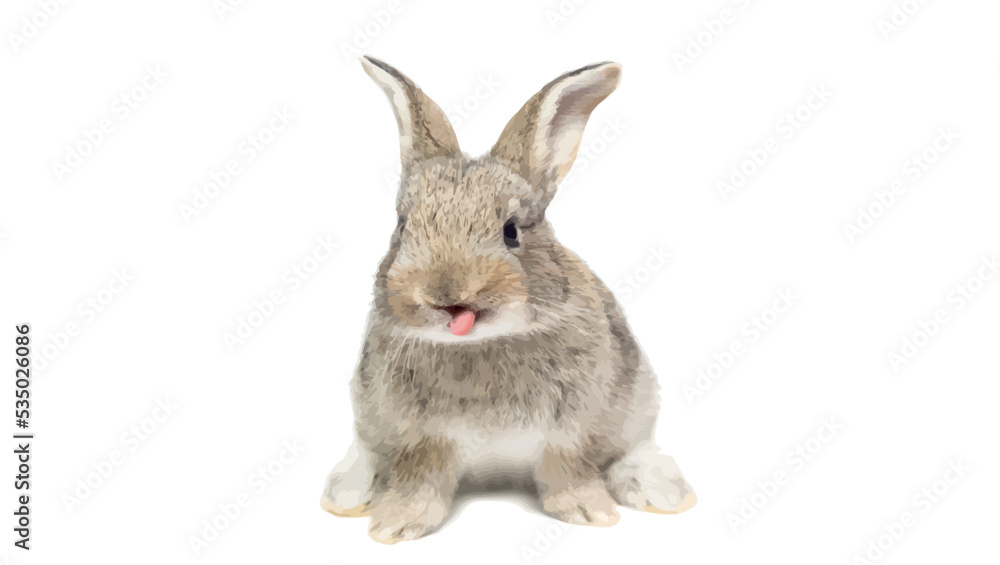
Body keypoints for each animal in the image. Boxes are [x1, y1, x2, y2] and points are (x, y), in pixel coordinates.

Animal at [320, 56, 696, 544]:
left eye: (511, 231)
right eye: (402, 227)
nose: (446, 294)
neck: (480, 342)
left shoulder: (568, 432)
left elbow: (566, 469)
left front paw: (588, 511)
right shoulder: (421, 440)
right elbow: (420, 477)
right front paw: (396, 525)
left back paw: (661, 492)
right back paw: (347, 494)